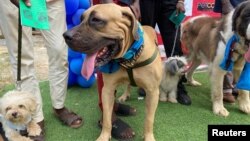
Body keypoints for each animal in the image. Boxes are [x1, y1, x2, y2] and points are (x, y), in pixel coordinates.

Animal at [63, 3, 163, 141]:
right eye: (81, 19)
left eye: (96, 20)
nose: (65, 35)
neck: (128, 59)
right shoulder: (107, 90)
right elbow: (107, 118)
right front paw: (104, 136)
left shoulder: (153, 92)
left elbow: (149, 119)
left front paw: (148, 137)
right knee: (128, 85)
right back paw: (125, 95)